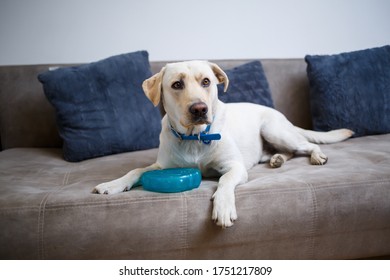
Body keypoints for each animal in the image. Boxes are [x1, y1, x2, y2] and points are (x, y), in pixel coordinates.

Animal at [93, 60, 354, 228]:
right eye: (176, 85)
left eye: (206, 82)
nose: (199, 108)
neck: (195, 137)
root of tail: (281, 116)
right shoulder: (162, 167)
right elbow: (136, 170)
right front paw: (113, 184)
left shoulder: (235, 167)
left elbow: (225, 180)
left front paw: (223, 206)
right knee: (287, 152)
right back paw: (277, 159)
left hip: (274, 130)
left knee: (305, 145)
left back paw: (316, 155)